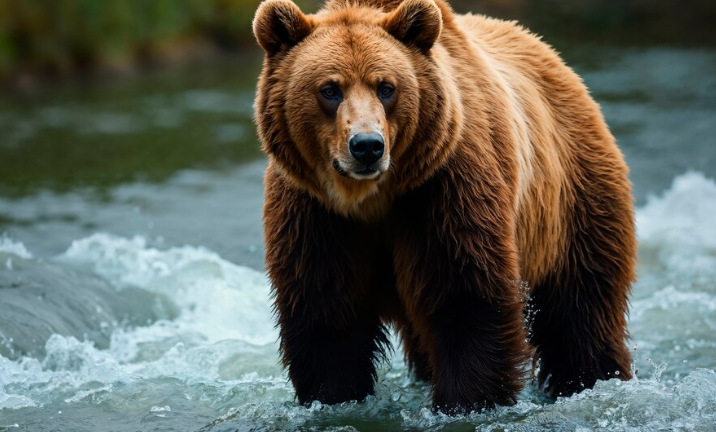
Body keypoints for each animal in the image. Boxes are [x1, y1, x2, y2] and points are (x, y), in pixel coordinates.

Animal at [255, 0, 636, 414]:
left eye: (386, 87)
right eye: (329, 89)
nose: (367, 146)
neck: (371, 199)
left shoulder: (444, 191)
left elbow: (464, 301)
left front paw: (466, 401)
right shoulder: (316, 215)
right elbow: (326, 314)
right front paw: (334, 396)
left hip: (572, 201)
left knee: (581, 309)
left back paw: (594, 378)